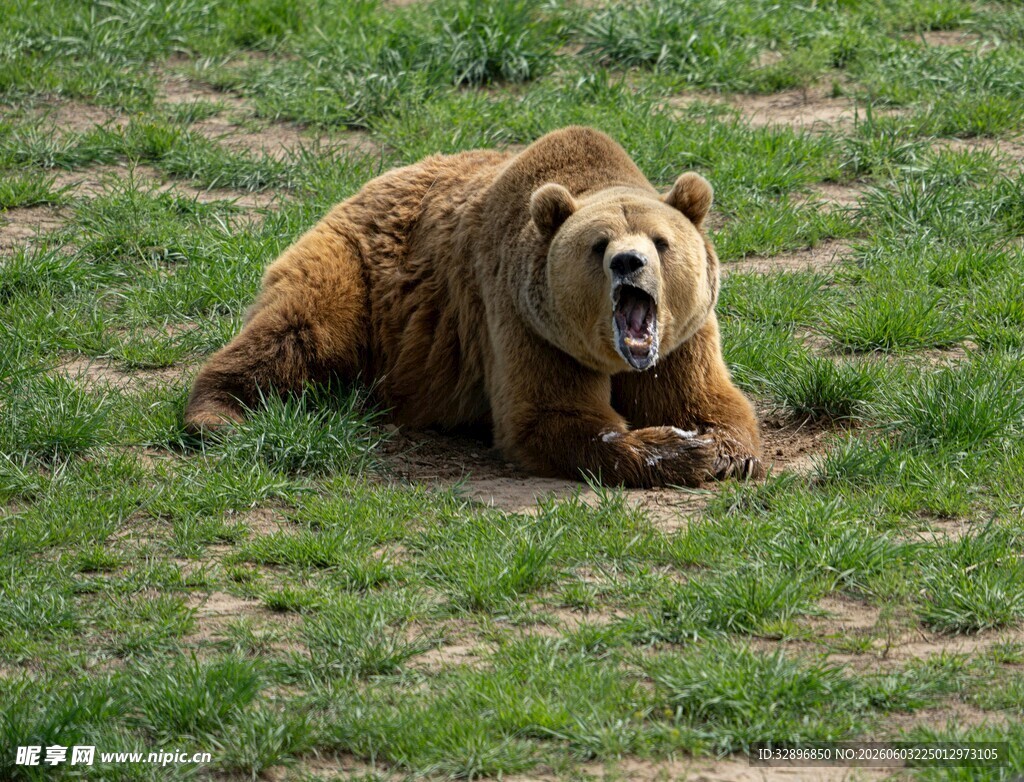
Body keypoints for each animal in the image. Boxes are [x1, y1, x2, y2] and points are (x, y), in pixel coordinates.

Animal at [184, 126, 763, 488]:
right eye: (598, 244)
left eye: (661, 242)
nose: (628, 263)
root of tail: (364, 185)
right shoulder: (523, 320)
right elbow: (549, 416)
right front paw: (679, 449)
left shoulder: (683, 338)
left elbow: (708, 400)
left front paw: (718, 449)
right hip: (356, 274)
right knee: (295, 333)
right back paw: (220, 414)